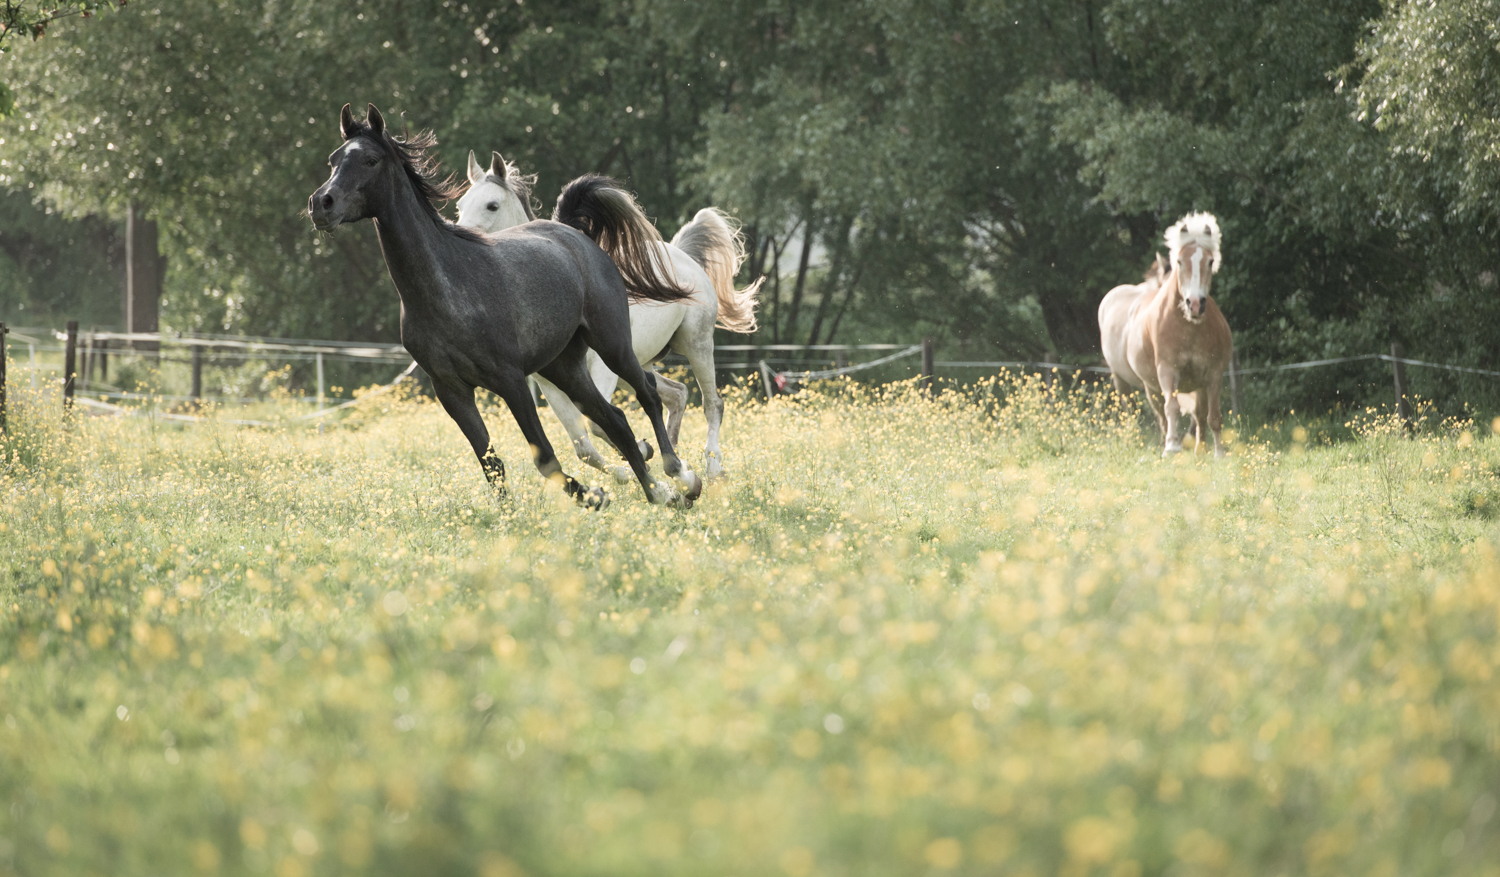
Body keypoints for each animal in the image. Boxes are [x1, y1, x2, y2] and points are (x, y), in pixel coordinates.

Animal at [308, 103, 702, 508]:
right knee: (616, 420)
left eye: (370, 160)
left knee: (648, 396)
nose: (321, 204)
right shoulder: (452, 392)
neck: (450, 287)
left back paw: (681, 479)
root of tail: (577, 236)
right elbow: (492, 465)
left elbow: (545, 458)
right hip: (564, 368)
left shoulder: (510, 380)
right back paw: (662, 495)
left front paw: (595, 496)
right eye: (334, 159)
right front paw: (534, 511)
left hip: (614, 346)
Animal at [455, 151, 762, 481]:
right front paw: (635, 463)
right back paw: (676, 457)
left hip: (695, 344)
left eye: (492, 205)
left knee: (712, 403)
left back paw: (712, 466)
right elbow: (584, 447)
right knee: (676, 394)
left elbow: (598, 425)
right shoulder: (551, 385)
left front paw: (639, 455)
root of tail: (683, 257)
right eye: (460, 204)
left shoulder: (601, 371)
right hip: (639, 364)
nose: (461, 239)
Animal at [1099, 213, 1232, 457]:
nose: (1195, 304)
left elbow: (1212, 415)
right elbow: (1172, 407)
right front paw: (1172, 446)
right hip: (1130, 381)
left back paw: (1199, 449)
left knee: (1197, 414)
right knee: (1145, 412)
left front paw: (1218, 452)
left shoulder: (1213, 374)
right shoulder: (1167, 371)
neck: (1188, 329)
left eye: (1210, 261)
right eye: (1179, 261)